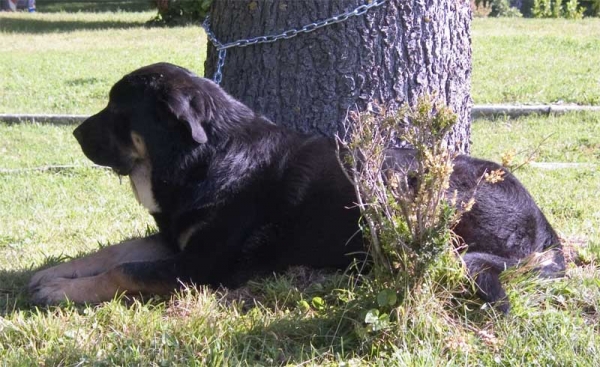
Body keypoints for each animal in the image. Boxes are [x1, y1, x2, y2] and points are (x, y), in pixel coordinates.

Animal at [27, 63, 564, 314]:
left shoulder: (201, 267)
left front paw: (61, 290)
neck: (206, 159)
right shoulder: (175, 242)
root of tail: (543, 225)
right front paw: (55, 273)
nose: (74, 134)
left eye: (118, 111)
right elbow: (114, 252)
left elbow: (127, 271)